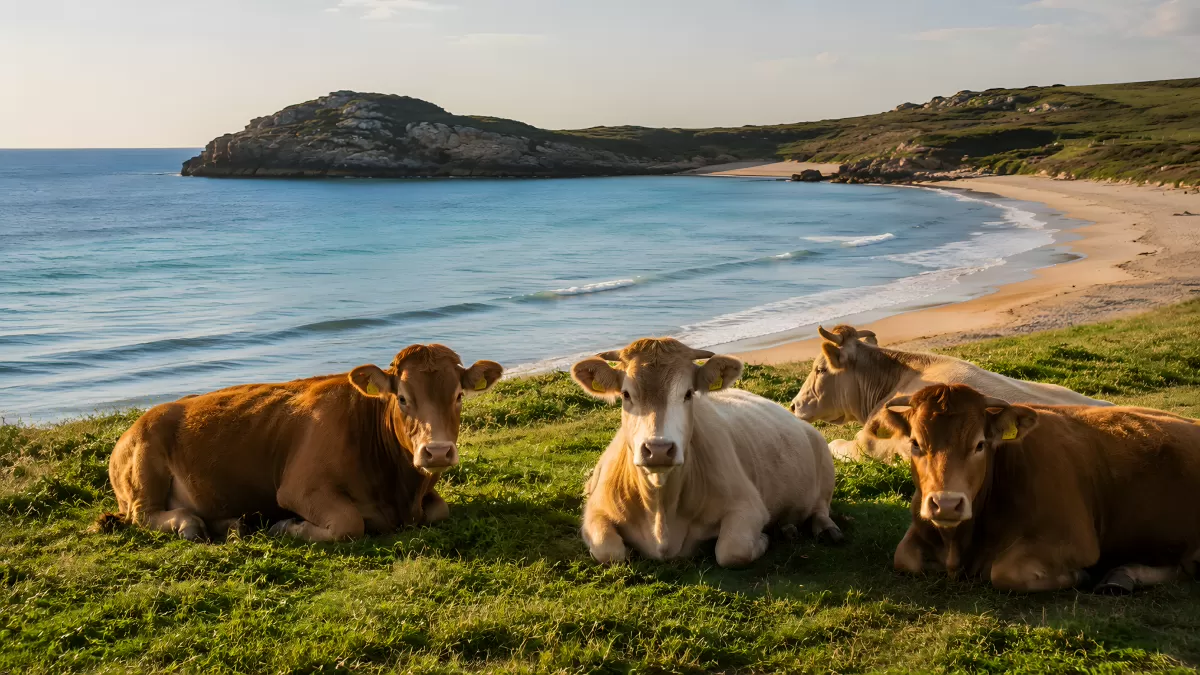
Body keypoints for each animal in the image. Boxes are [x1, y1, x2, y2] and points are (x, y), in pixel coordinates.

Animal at [103, 344, 502, 542]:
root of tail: (134, 426)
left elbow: (441, 509)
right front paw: (286, 527)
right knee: (142, 514)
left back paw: (232, 525)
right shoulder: (299, 488)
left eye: (458, 396)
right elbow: (348, 523)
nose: (436, 451)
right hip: (144, 470)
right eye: (402, 398)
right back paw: (190, 525)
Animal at [571, 337, 840, 568]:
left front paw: (763, 538)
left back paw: (824, 530)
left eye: (688, 393)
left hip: (824, 461)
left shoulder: (748, 506)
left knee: (820, 509)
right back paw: (788, 528)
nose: (658, 449)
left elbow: (733, 549)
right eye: (626, 394)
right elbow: (609, 550)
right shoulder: (595, 511)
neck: (661, 510)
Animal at [879, 383, 1200, 593]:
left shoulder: (1075, 540)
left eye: (980, 444)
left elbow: (1004, 572)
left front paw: (1079, 577)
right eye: (915, 443)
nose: (946, 504)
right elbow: (903, 557)